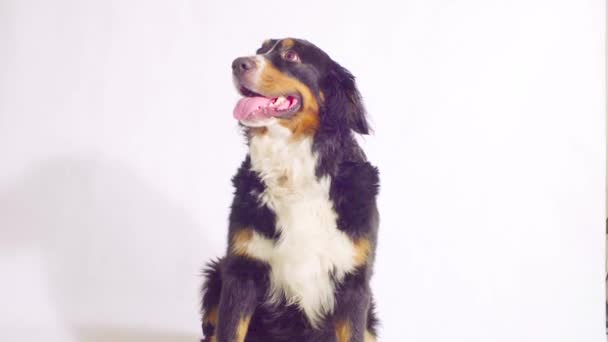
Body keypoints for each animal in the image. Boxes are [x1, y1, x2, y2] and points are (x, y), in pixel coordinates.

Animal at [200, 38, 380, 342]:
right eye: (260, 51)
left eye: (291, 55)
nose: (237, 63)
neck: (293, 169)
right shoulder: (241, 272)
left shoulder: (353, 283)